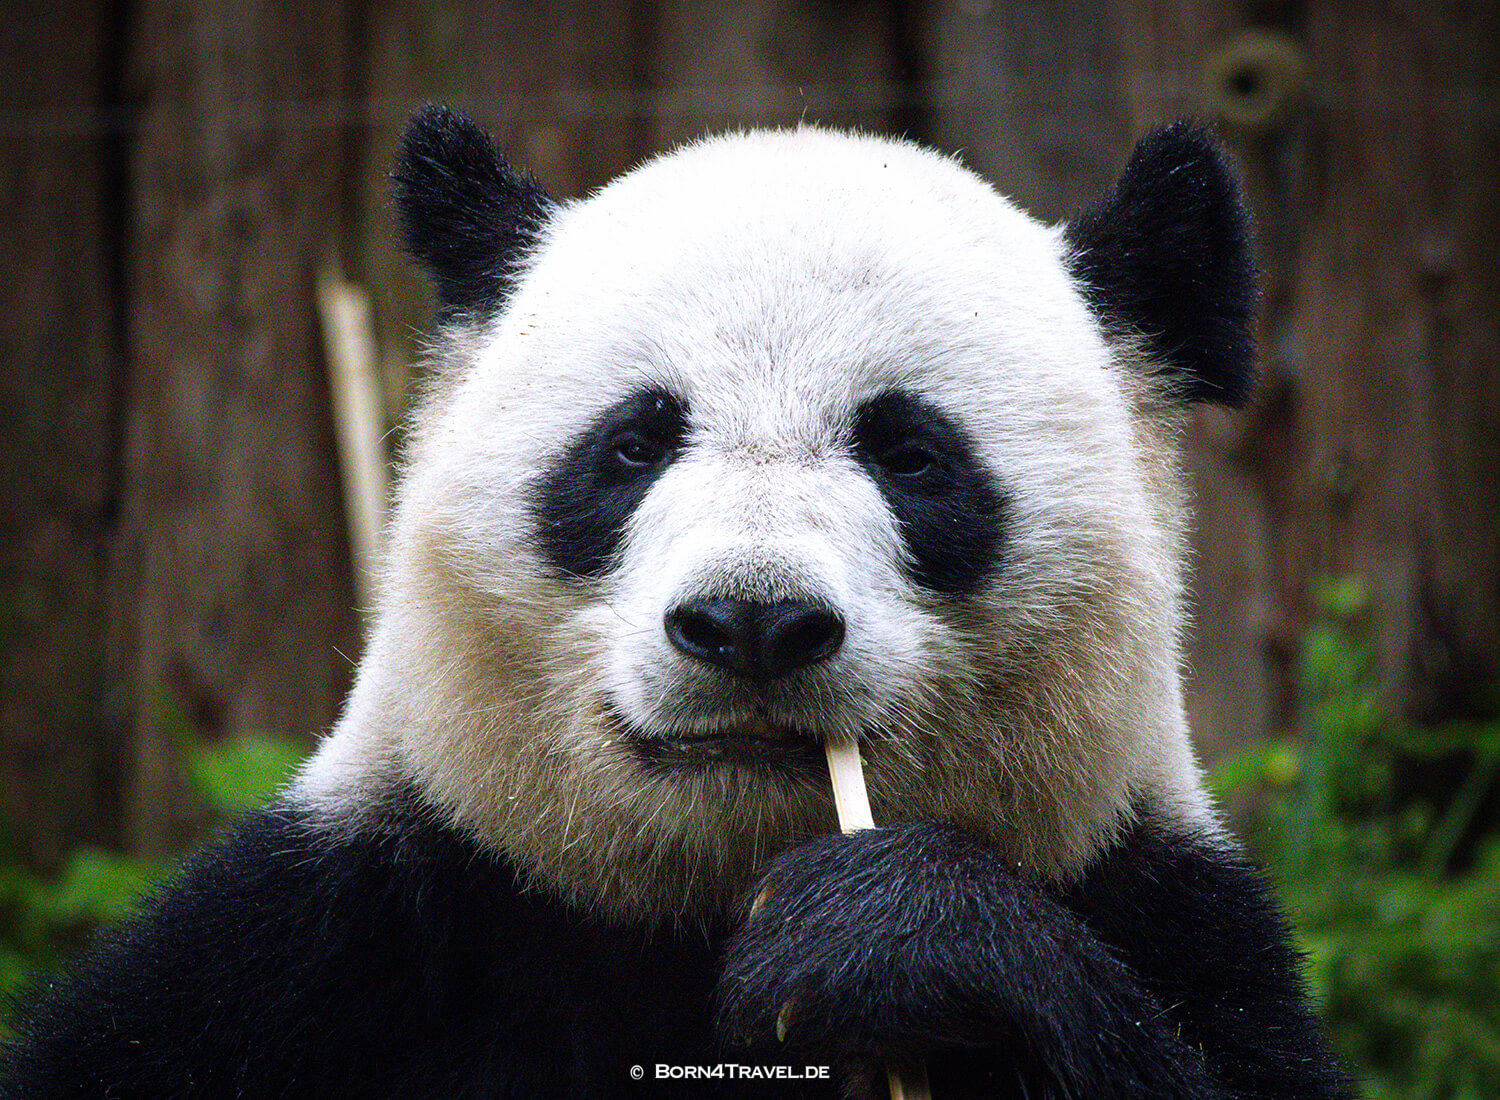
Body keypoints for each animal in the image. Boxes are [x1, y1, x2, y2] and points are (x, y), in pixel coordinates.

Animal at [2, 105, 1352, 1099]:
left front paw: (890, 936)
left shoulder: (1166, 907)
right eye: (636, 442)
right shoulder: (333, 936)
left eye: (912, 454)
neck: (703, 896)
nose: (752, 621)